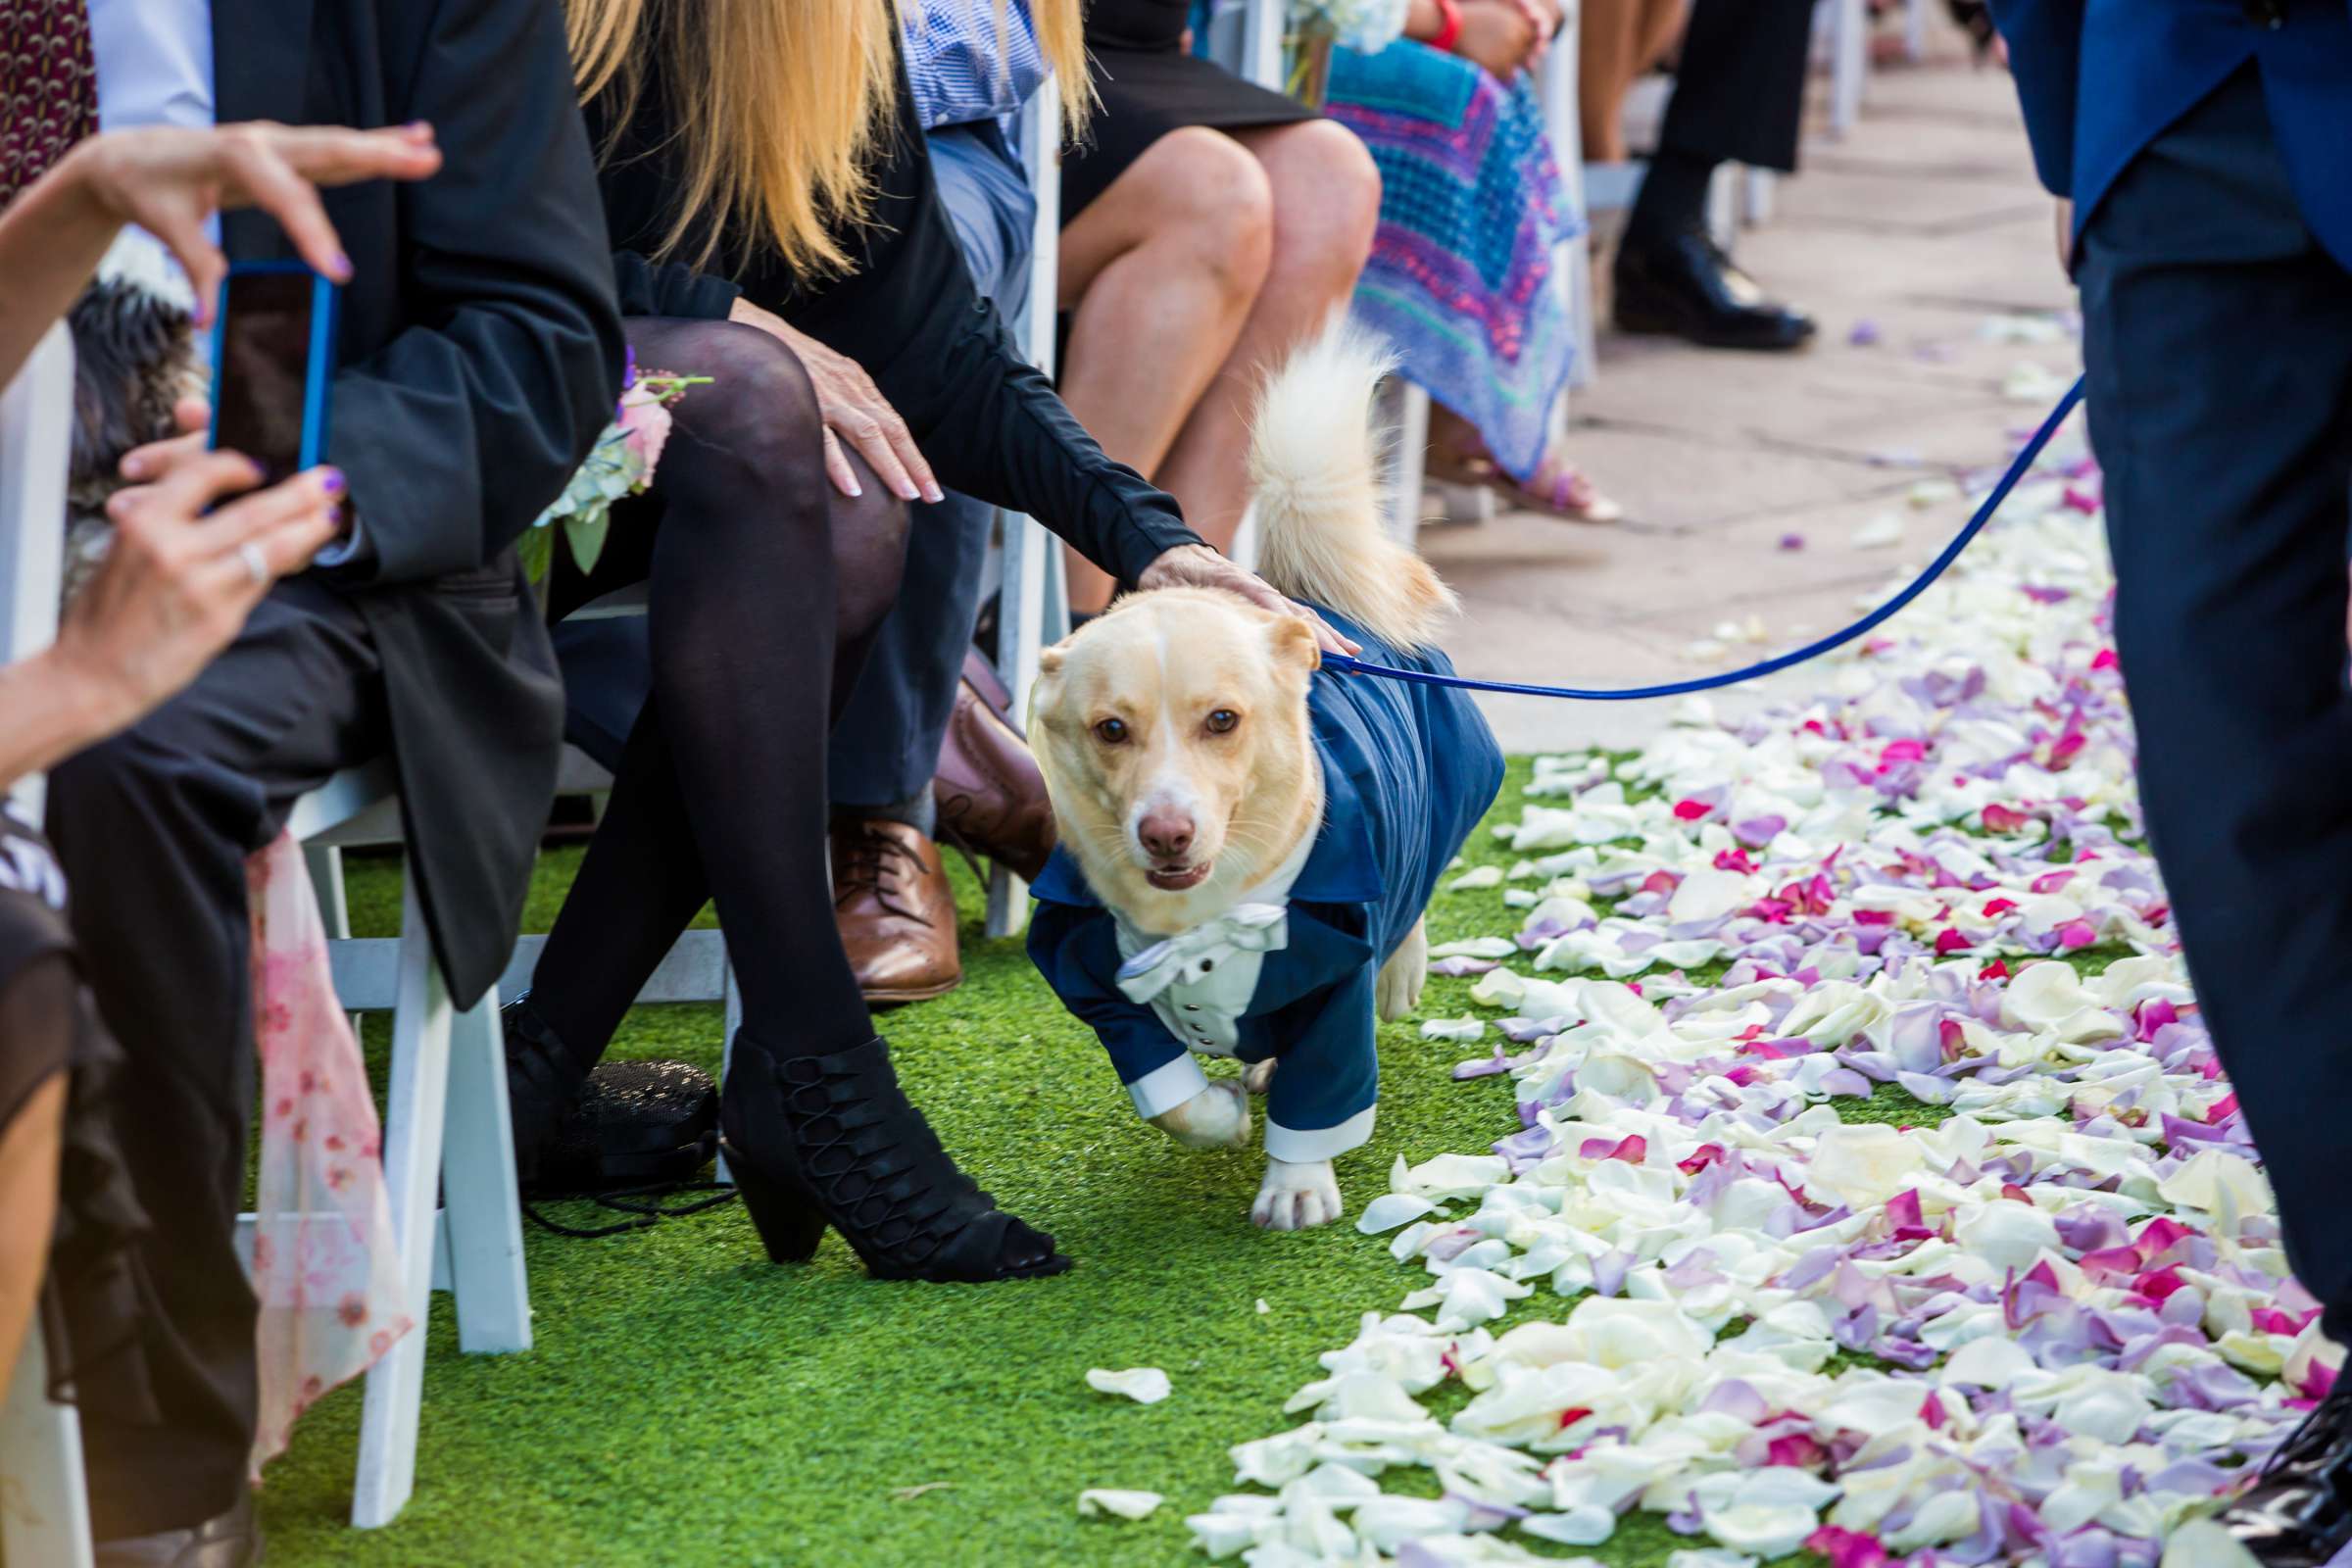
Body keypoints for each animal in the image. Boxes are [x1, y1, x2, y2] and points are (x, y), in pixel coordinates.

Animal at [1030, 321, 1505, 1222]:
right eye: (1111, 730)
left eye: (1223, 720)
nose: (1166, 833)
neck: (1201, 921)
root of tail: (1312, 601)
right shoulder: (1092, 979)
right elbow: (1173, 1094)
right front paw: (1220, 1115)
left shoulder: (1337, 980)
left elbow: (1322, 1091)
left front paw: (1296, 1189)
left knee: (1420, 882)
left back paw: (1402, 971)